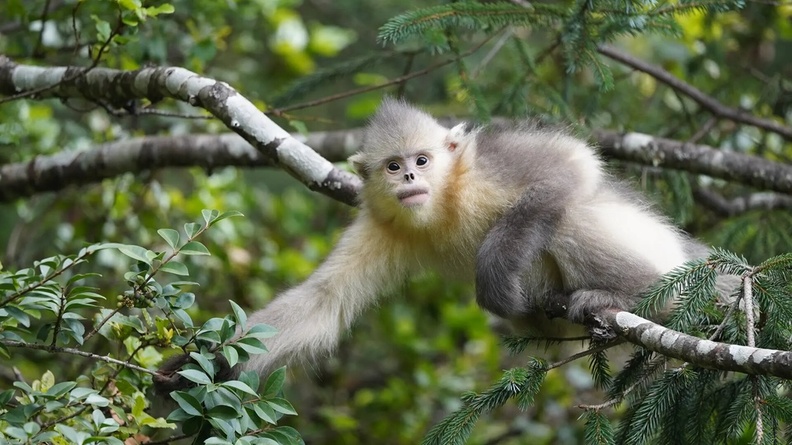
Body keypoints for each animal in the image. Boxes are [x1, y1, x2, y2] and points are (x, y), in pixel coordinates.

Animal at [155, 98, 710, 391]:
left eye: (422, 161)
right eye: (393, 166)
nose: (409, 180)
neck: (444, 204)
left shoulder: (488, 163)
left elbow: (572, 164)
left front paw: (493, 274)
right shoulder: (383, 225)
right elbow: (324, 301)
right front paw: (198, 366)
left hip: (659, 262)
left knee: (569, 212)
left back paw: (626, 298)